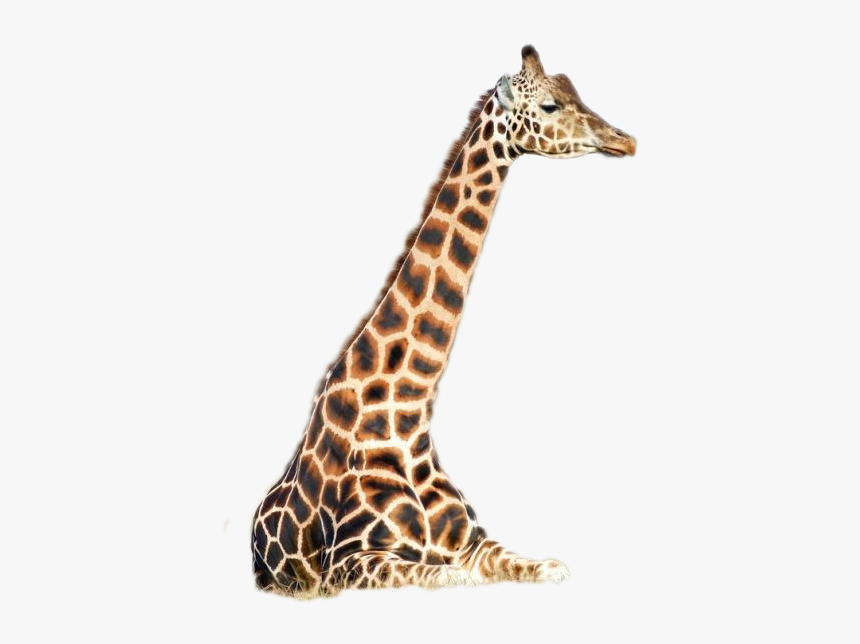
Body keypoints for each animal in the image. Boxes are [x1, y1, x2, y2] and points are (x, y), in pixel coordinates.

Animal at [252, 45, 635, 598]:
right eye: (549, 105)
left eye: (575, 91)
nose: (625, 139)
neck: (408, 416)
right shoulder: (348, 563)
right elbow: (446, 576)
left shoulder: (475, 542)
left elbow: (541, 565)